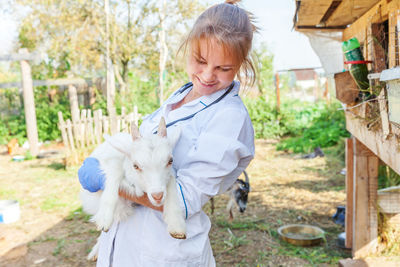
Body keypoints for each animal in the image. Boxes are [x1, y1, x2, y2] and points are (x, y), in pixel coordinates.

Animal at [82, 119, 188, 262]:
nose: (158, 196)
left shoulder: (169, 176)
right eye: (136, 166)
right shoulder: (113, 163)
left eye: (170, 160)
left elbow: (171, 182)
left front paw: (176, 224)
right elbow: (115, 171)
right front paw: (104, 218)